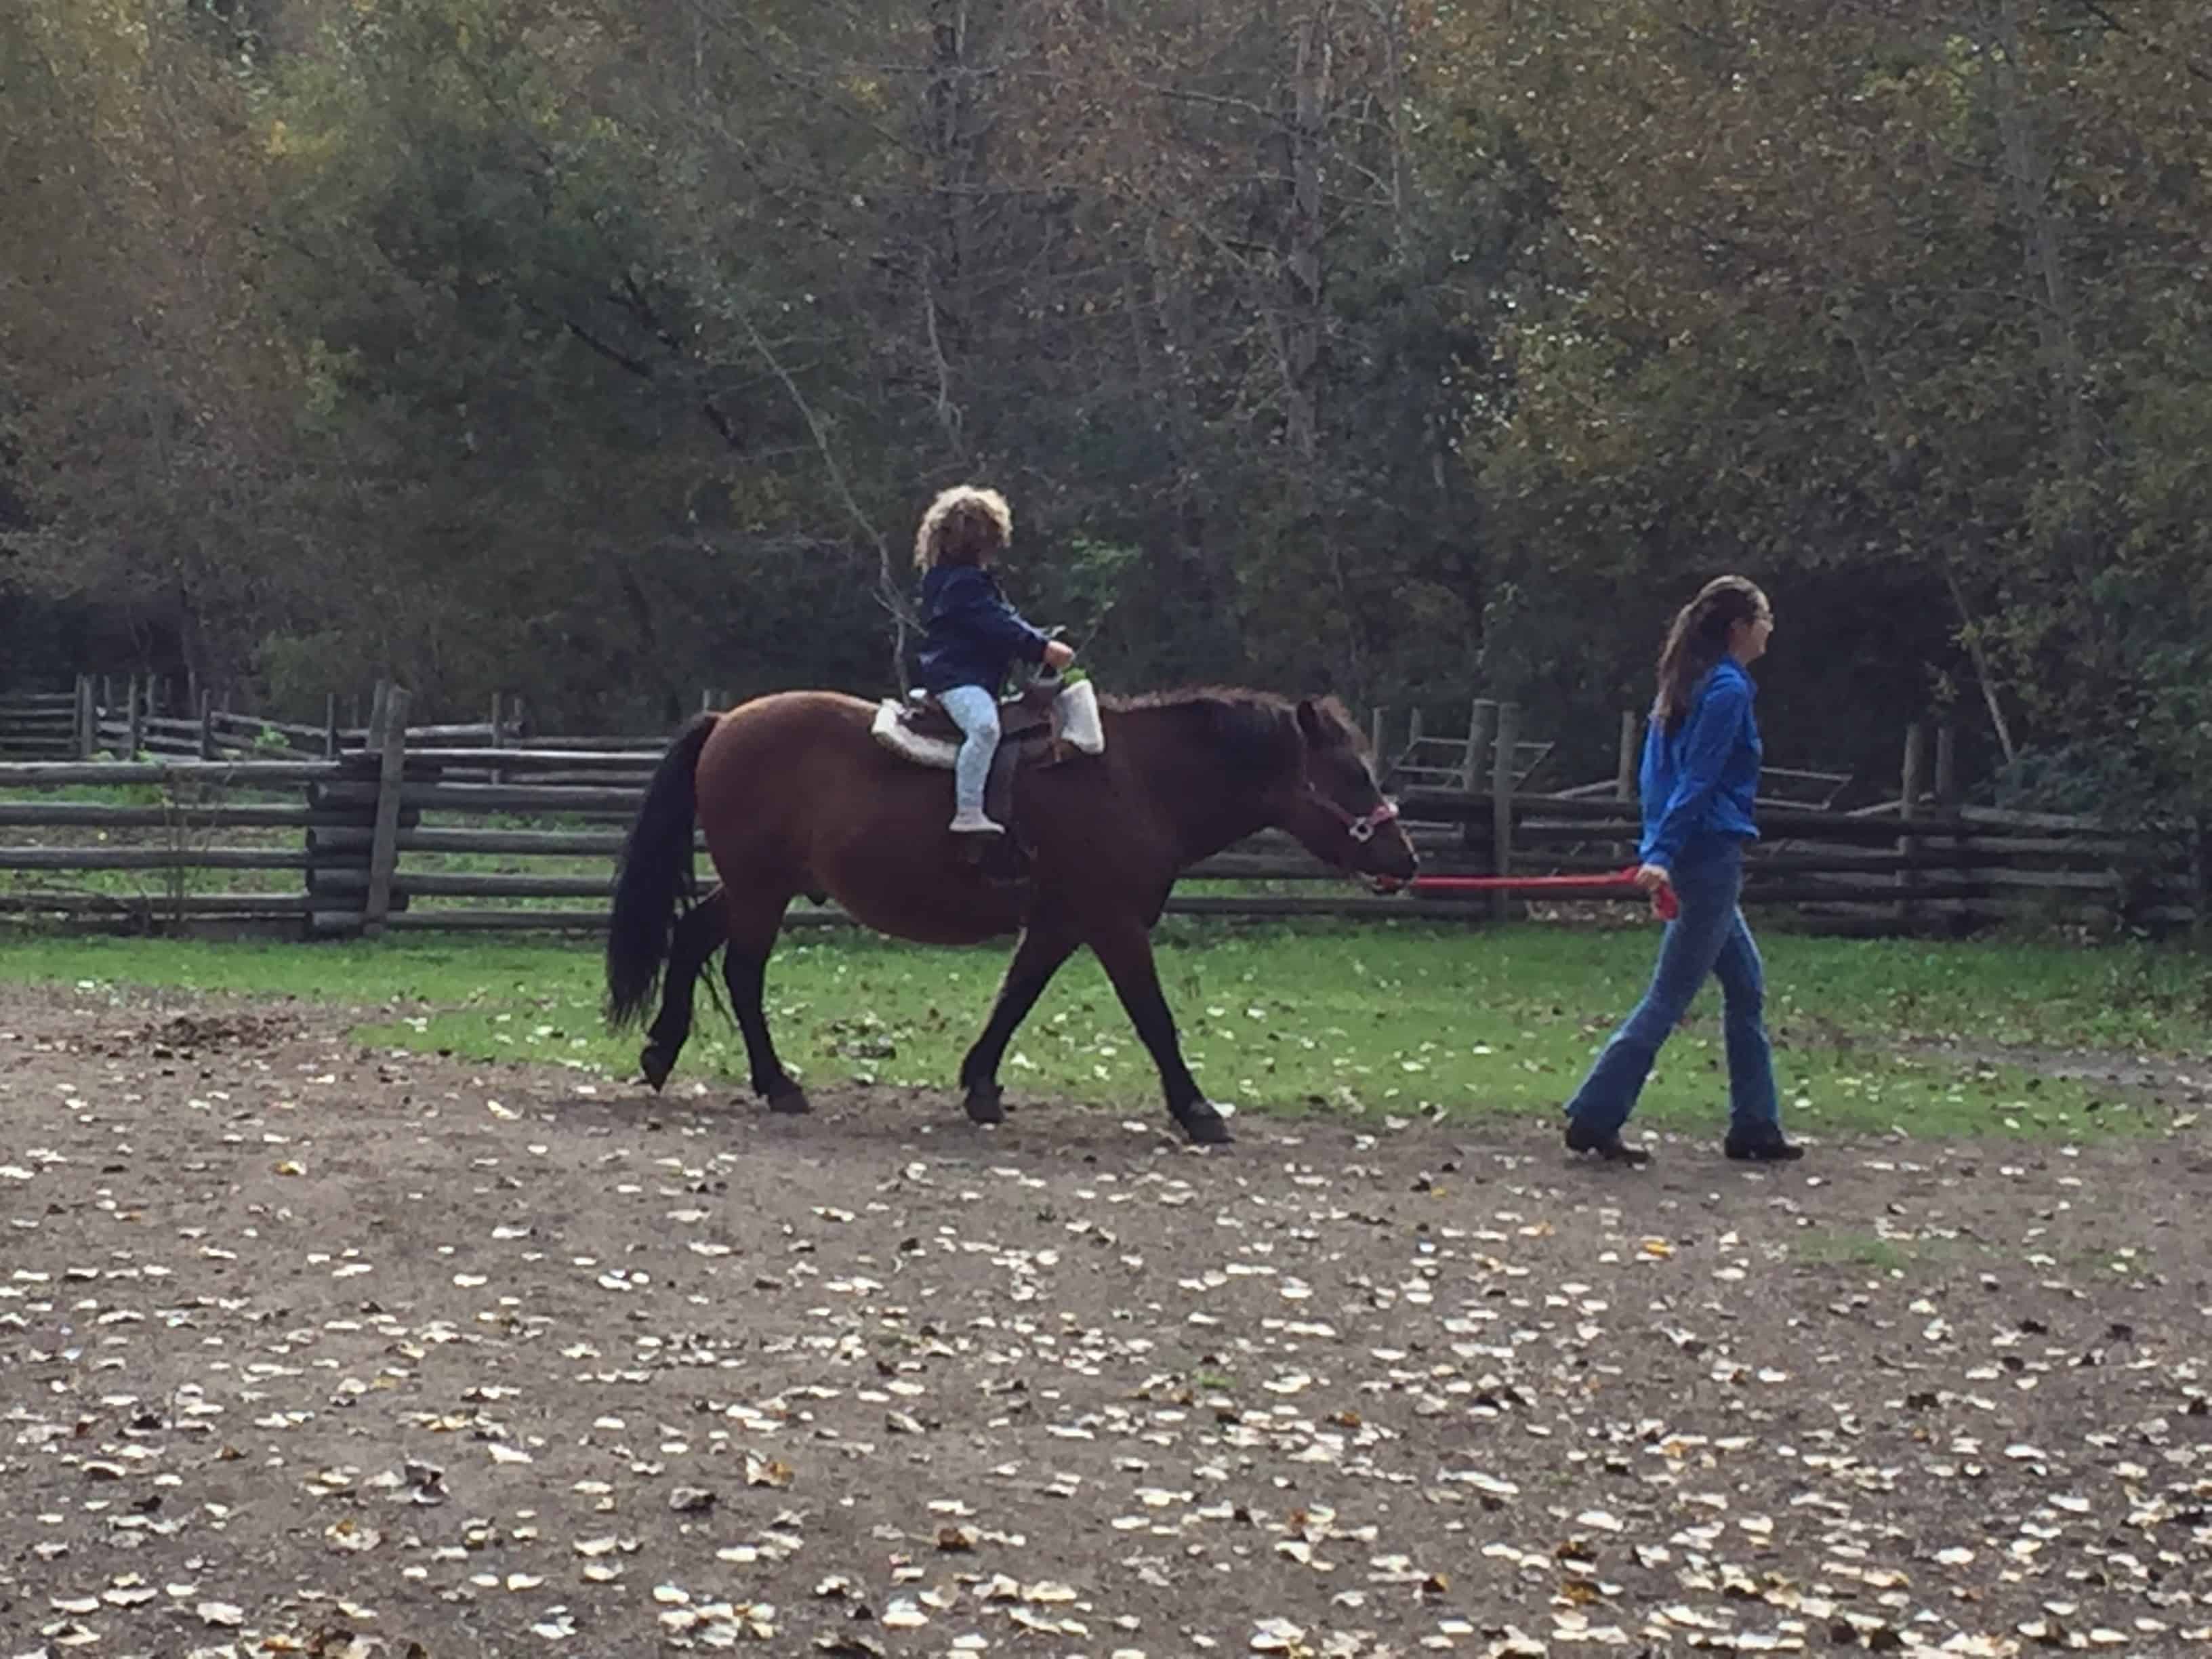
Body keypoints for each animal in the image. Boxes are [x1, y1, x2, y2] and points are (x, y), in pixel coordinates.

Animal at [602, 686, 1419, 1144]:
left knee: (692, 938)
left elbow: (1015, 998)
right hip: (762, 890)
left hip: (756, 886)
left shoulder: (1060, 922)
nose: (1405, 859)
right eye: (1351, 773)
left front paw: (981, 1085)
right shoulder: (1113, 922)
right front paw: (1195, 1110)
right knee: (742, 972)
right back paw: (776, 1084)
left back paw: (661, 1051)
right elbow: (1153, 1018)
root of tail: (726, 721)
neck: (1134, 779)